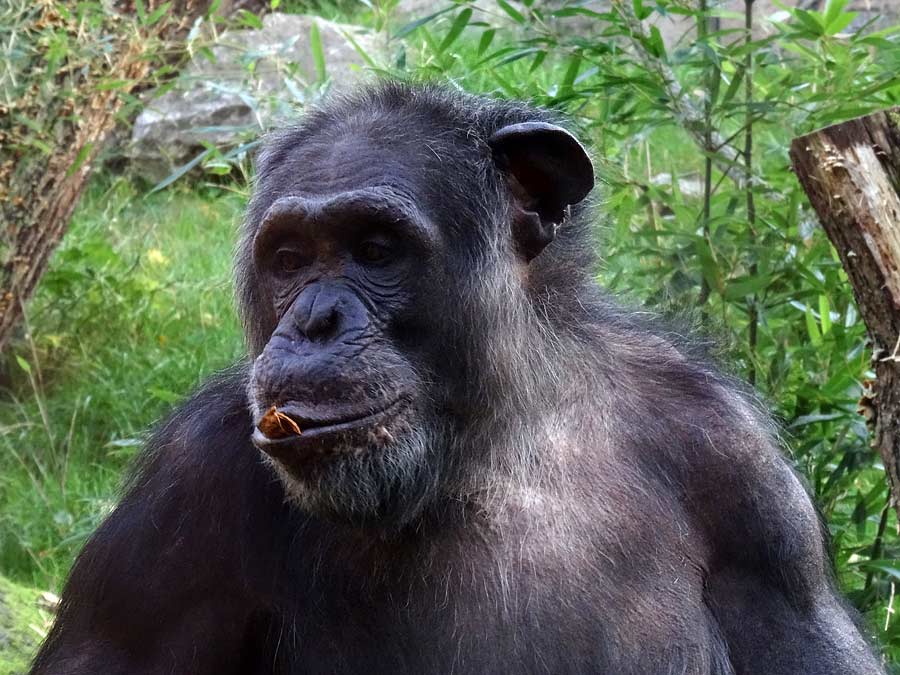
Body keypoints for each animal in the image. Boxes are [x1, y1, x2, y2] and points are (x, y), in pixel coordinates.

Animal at [31, 82, 884, 672]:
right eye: (290, 258)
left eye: (376, 248)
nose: (313, 321)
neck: (496, 438)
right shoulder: (178, 498)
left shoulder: (748, 488)